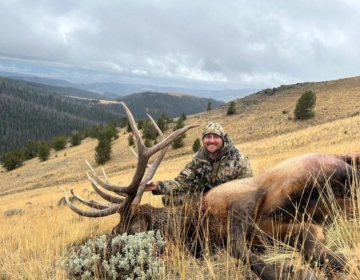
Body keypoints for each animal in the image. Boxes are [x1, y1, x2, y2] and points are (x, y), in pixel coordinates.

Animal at [65, 103, 360, 280]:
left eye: (120, 230)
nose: (94, 258)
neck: (196, 225)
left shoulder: (243, 202)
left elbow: (239, 250)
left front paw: (298, 271)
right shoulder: (275, 230)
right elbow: (306, 239)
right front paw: (327, 261)